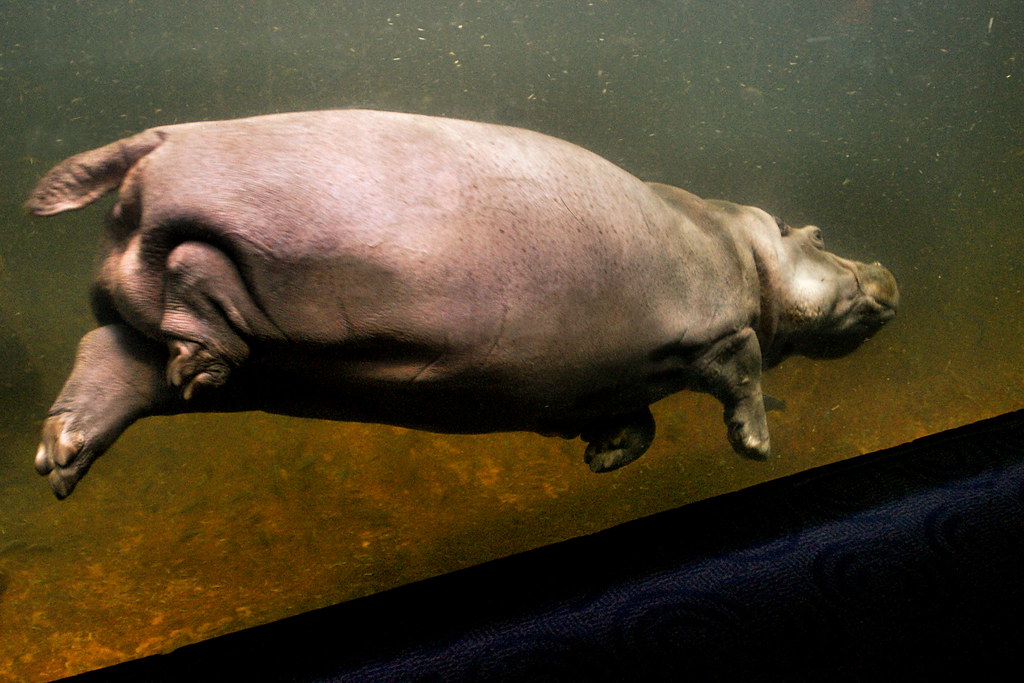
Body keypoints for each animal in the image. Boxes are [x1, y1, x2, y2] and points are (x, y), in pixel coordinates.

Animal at [26, 110, 898, 499]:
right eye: (819, 233)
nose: (886, 271)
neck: (743, 243)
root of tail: (163, 135)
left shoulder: (602, 380)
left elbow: (640, 420)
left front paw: (602, 458)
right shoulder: (715, 327)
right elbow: (744, 362)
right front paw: (755, 446)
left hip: (163, 331)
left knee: (109, 359)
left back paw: (61, 456)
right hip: (250, 256)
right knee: (195, 273)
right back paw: (196, 362)